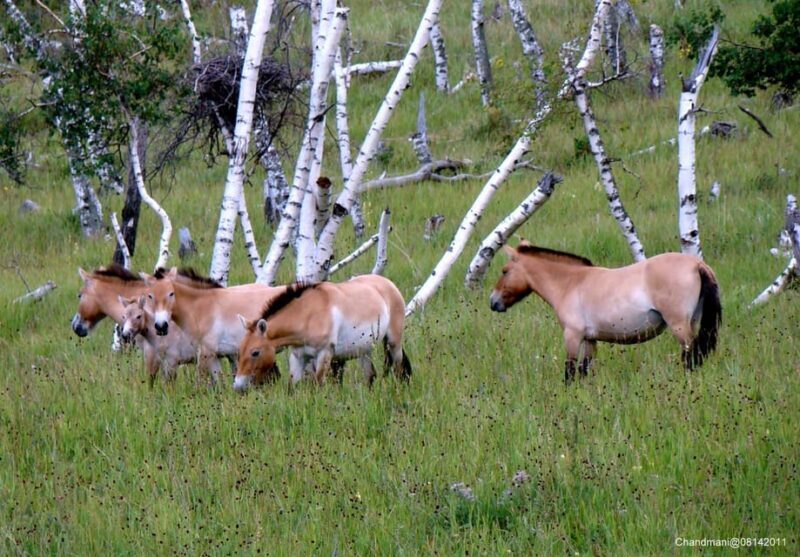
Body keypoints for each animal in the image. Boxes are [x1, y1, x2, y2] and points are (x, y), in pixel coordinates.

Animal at [143, 267, 287, 385]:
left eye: (171, 293)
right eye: (150, 296)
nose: (161, 326)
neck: (204, 307)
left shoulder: (206, 353)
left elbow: (200, 381)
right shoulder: (215, 356)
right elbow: (219, 384)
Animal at [234, 274, 412, 392]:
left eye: (255, 352)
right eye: (240, 350)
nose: (238, 386)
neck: (308, 315)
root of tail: (388, 283)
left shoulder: (324, 354)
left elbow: (317, 385)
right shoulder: (298, 357)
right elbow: (292, 387)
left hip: (393, 343)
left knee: (398, 368)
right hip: (364, 350)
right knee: (370, 375)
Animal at [489, 242, 721, 383]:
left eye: (505, 271)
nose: (493, 301)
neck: (571, 283)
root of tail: (697, 264)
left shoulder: (572, 336)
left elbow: (570, 371)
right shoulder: (590, 339)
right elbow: (585, 370)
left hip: (680, 327)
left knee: (691, 356)